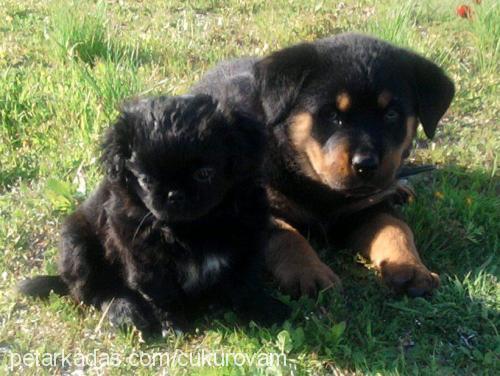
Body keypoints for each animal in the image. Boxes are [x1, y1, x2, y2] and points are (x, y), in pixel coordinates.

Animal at [18, 94, 290, 334]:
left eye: (204, 174)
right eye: (146, 180)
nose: (174, 194)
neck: (194, 227)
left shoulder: (248, 239)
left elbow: (246, 282)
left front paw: (263, 309)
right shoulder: (142, 253)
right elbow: (161, 292)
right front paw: (173, 325)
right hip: (77, 244)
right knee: (98, 291)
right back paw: (126, 313)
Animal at [192, 33, 458, 296]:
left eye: (391, 114)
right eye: (331, 115)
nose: (366, 165)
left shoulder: (367, 207)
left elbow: (396, 228)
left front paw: (412, 269)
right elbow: (287, 235)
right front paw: (309, 273)